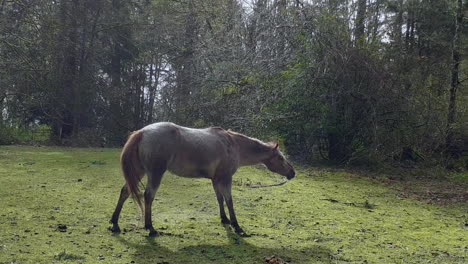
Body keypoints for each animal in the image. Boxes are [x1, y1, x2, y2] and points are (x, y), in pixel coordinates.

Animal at [108, 122, 294, 236]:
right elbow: (230, 201)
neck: (233, 145)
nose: (293, 173)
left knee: (125, 191)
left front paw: (225, 220)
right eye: (280, 158)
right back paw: (150, 228)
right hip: (155, 173)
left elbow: (220, 199)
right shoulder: (226, 178)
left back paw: (115, 223)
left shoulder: (216, 179)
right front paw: (237, 226)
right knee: (148, 196)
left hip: (139, 171)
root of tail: (142, 132)